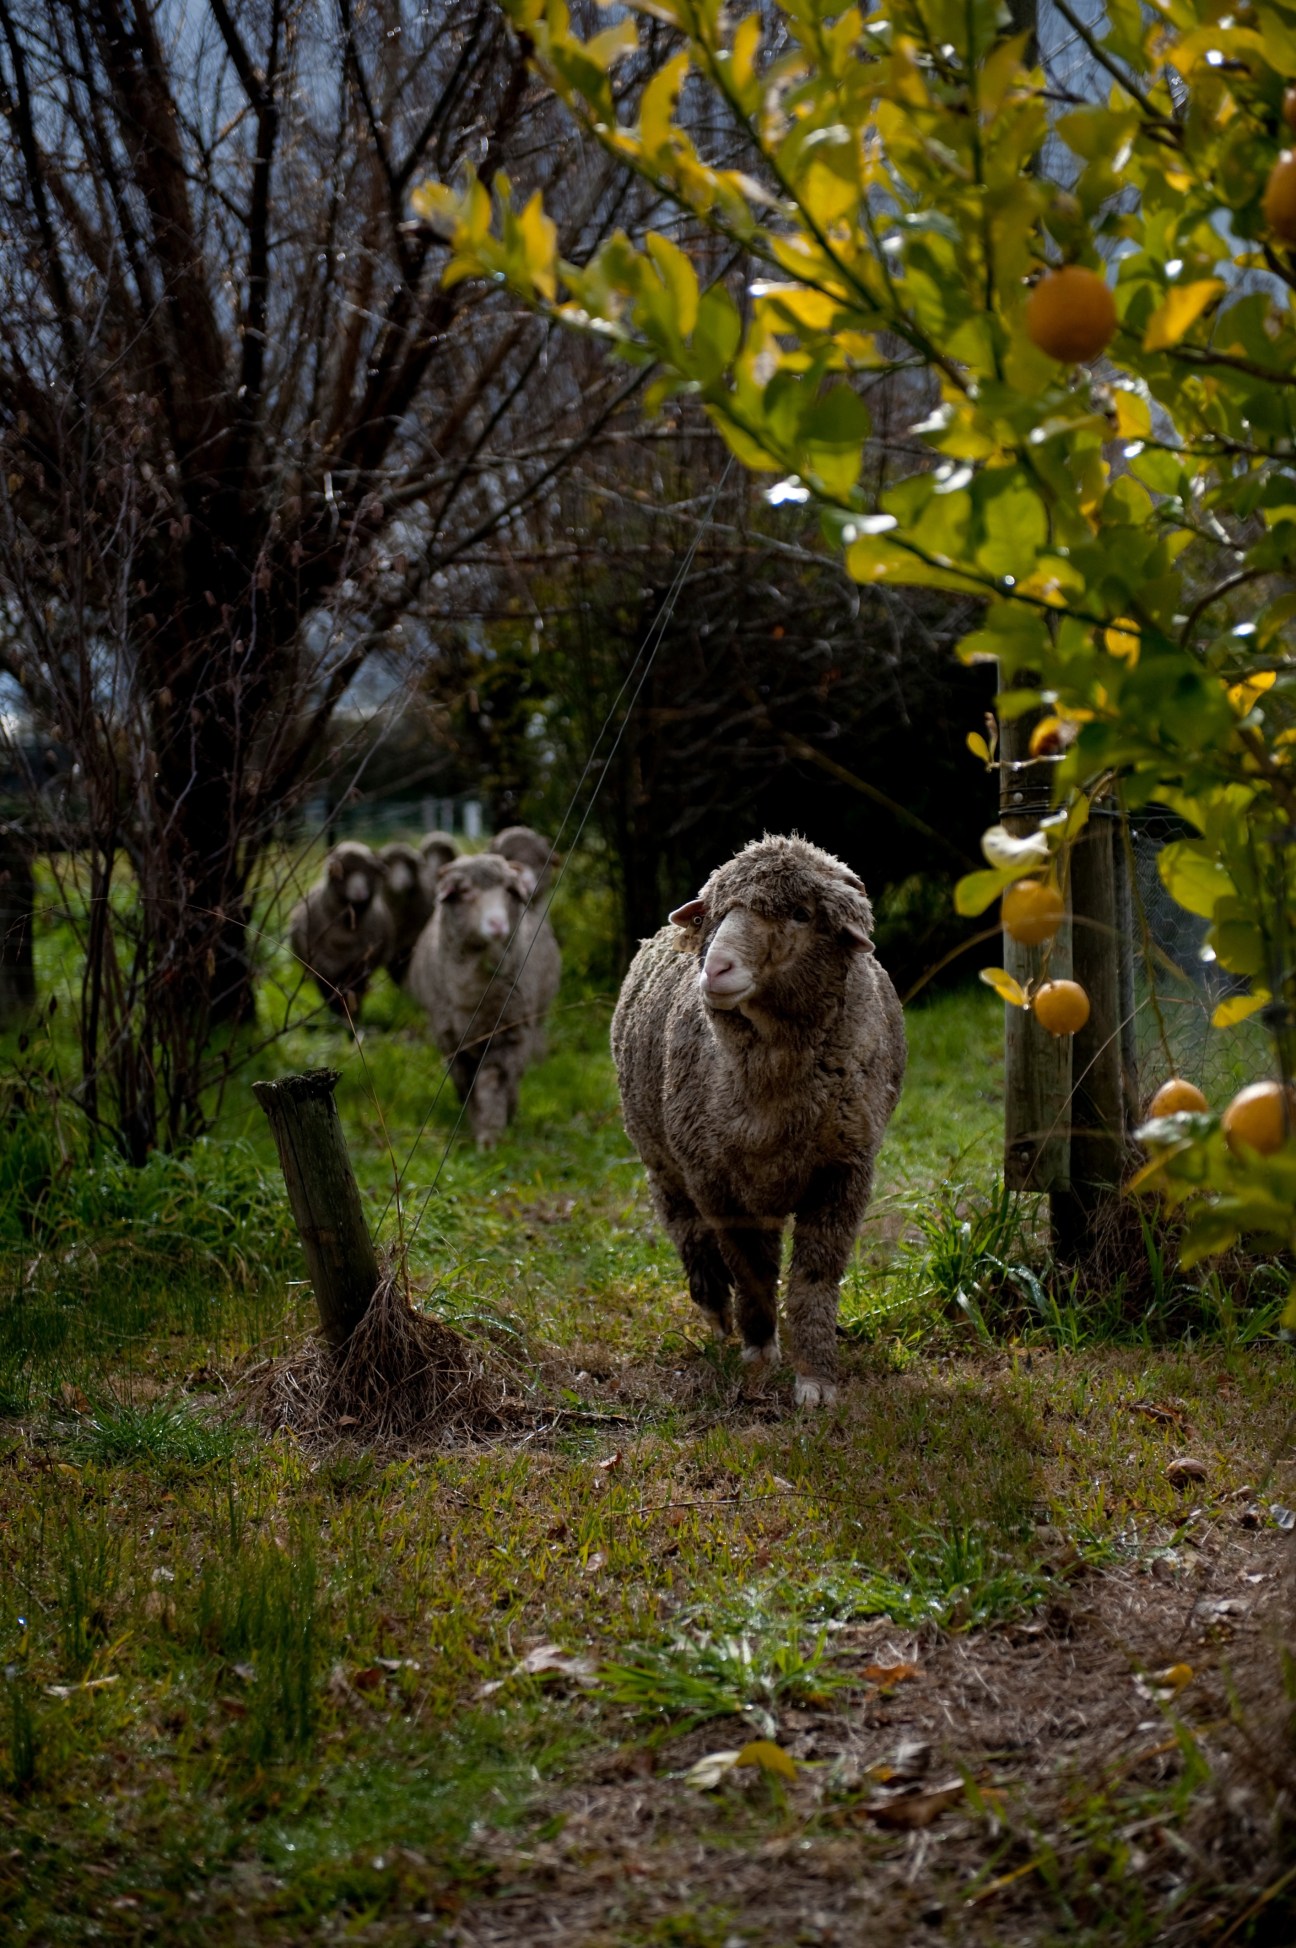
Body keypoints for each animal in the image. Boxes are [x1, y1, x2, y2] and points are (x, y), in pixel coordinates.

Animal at [289, 841, 393, 1020]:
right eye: (345, 871)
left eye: (368, 872)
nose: (359, 891)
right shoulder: (322, 969)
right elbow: (331, 999)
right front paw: (339, 1021)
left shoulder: (360, 970)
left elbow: (355, 999)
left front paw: (352, 1021)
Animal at [407, 851, 561, 1148]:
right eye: (465, 891)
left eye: (509, 891)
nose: (497, 924)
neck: (474, 992)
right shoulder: (450, 1041)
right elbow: (466, 1083)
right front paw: (475, 1122)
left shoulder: (509, 1032)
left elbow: (495, 1080)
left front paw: (491, 1136)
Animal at [610, 833, 906, 1408]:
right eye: (719, 913)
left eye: (800, 914)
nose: (715, 969)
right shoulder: (716, 1182)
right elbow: (748, 1268)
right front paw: (759, 1351)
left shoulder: (844, 1170)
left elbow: (814, 1279)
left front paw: (815, 1378)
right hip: (662, 1159)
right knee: (687, 1231)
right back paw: (715, 1308)